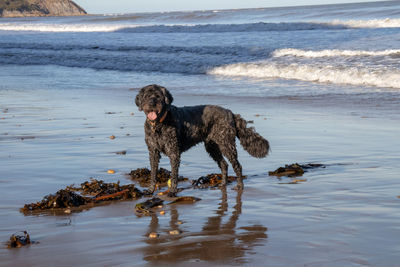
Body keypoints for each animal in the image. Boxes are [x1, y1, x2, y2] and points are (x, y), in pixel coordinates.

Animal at [136, 85, 270, 197]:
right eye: (147, 96)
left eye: (158, 96)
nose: (152, 103)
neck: (159, 124)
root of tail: (230, 113)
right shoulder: (153, 152)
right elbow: (153, 173)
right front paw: (150, 190)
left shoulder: (174, 152)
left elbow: (174, 175)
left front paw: (173, 191)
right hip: (212, 146)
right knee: (224, 164)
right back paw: (223, 184)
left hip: (226, 144)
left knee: (237, 166)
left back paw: (239, 186)